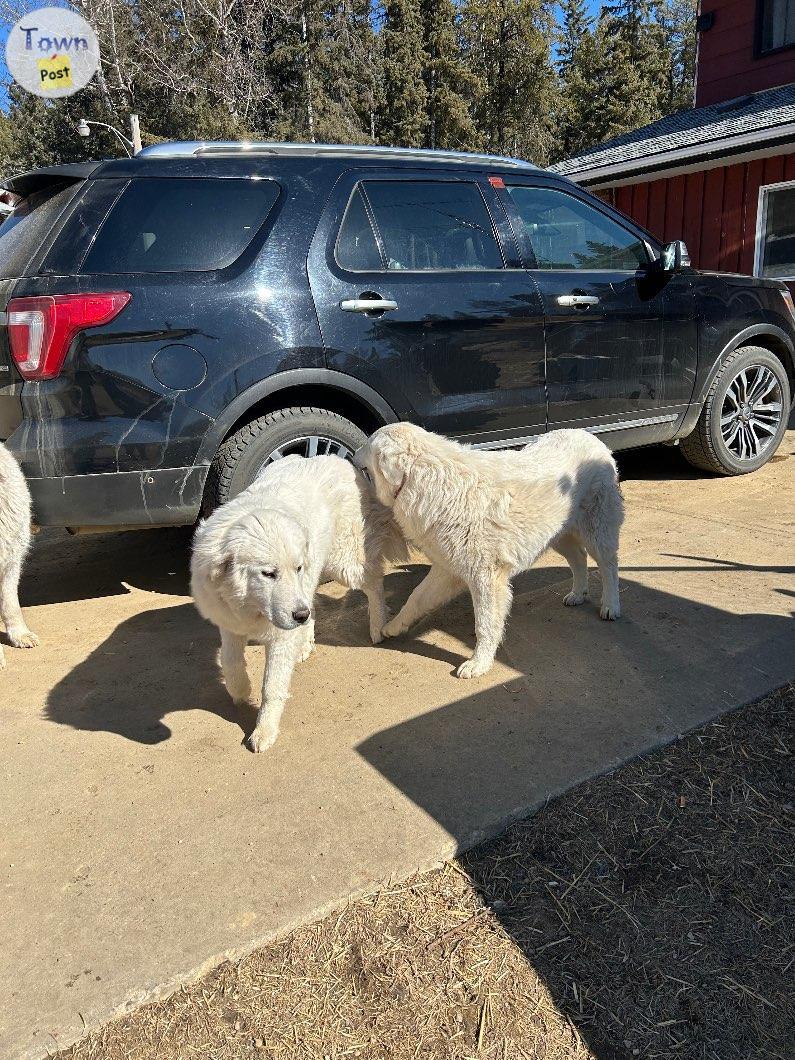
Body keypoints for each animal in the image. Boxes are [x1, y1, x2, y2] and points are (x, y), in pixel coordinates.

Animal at [190, 455, 407, 754]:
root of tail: (340, 460)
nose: (298, 616)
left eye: (296, 567)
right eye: (268, 574)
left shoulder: (280, 634)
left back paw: (378, 626)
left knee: (374, 584)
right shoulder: (229, 621)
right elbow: (230, 660)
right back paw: (305, 642)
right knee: (313, 602)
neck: (250, 606)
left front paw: (264, 731)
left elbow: (272, 687)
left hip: (343, 562)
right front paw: (240, 690)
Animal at [356, 421, 627, 678]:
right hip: (557, 533)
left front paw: (479, 663)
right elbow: (416, 598)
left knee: (608, 566)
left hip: (597, 528)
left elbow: (484, 624)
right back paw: (578, 593)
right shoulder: (446, 568)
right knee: (579, 558)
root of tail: (588, 436)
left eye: (368, 444)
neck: (421, 477)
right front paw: (393, 626)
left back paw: (611, 605)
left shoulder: (485, 577)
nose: (353, 453)